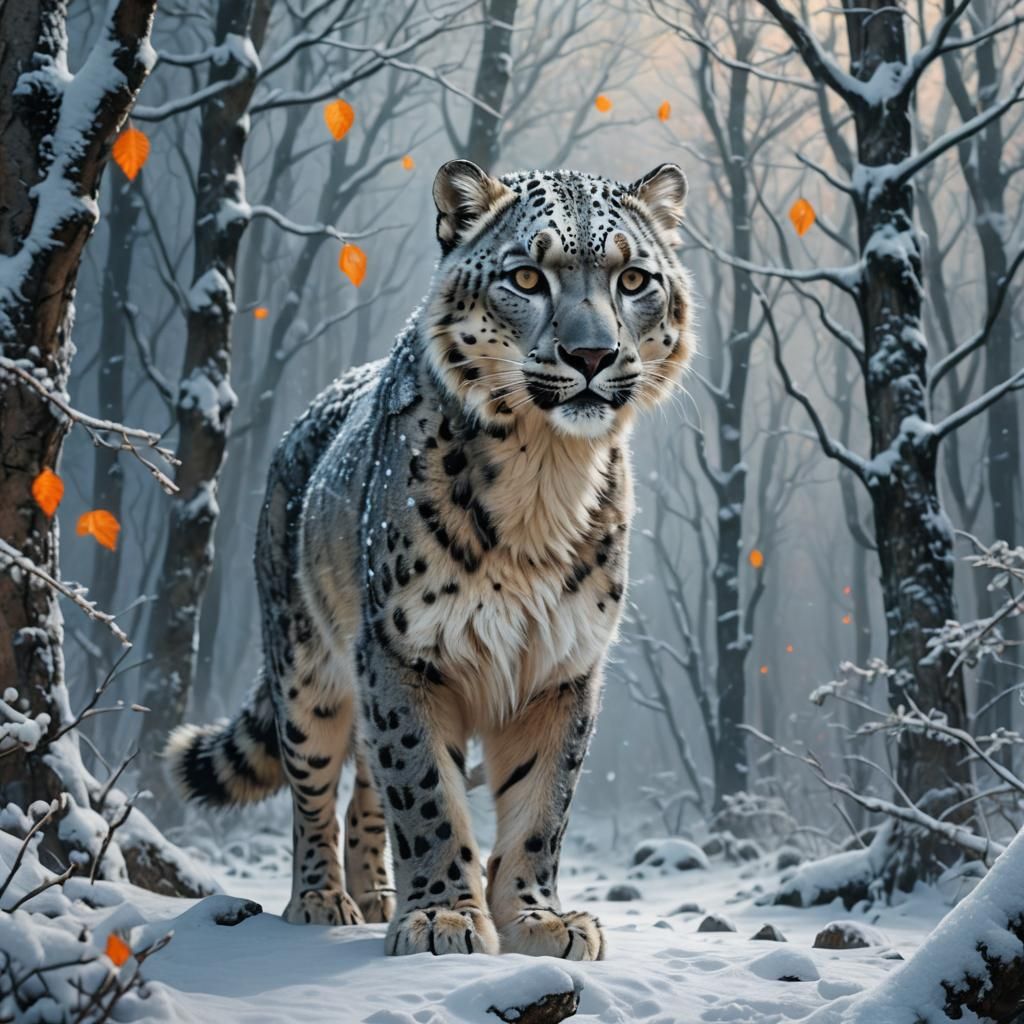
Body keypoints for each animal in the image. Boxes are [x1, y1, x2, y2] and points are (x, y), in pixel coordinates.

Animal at [165, 159, 694, 959]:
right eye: (527, 276)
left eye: (633, 279)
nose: (592, 355)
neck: (546, 480)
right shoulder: (404, 650)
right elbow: (426, 790)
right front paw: (445, 916)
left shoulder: (564, 667)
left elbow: (543, 804)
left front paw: (539, 920)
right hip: (309, 669)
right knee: (315, 784)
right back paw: (321, 899)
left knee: (366, 786)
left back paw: (376, 894)